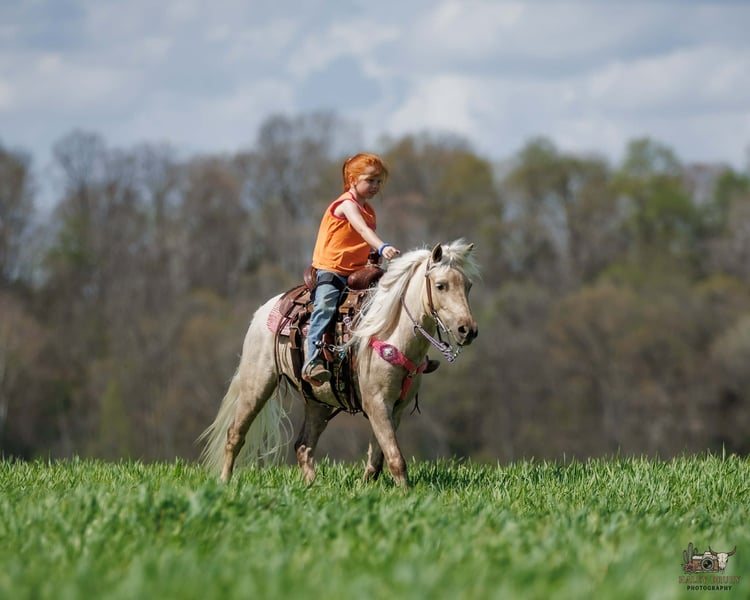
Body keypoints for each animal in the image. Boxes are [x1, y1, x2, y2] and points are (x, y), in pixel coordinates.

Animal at [198, 240, 479, 488]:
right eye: (441, 285)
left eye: (468, 285)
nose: (468, 330)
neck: (392, 332)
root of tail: (264, 311)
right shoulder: (377, 403)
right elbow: (395, 459)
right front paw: (406, 495)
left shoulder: (396, 408)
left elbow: (377, 460)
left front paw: (362, 491)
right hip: (257, 384)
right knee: (235, 435)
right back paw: (224, 483)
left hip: (318, 401)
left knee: (303, 445)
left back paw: (313, 487)